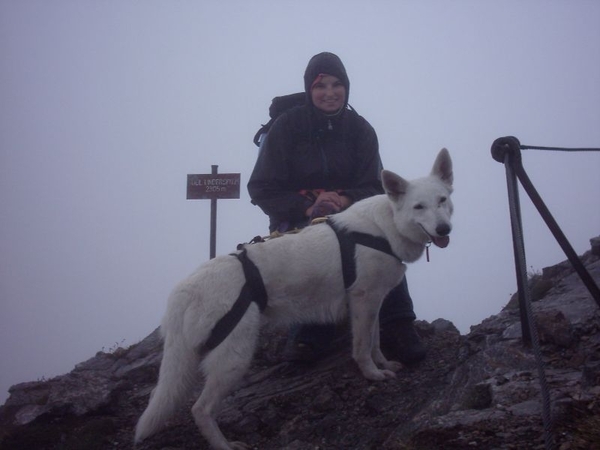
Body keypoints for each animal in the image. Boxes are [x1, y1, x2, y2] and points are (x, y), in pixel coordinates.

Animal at [135, 149, 454, 450]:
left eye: (442, 200)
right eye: (418, 207)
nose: (444, 230)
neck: (386, 226)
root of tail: (184, 289)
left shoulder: (372, 302)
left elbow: (375, 342)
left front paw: (384, 364)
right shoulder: (363, 302)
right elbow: (363, 347)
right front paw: (372, 374)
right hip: (234, 358)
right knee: (200, 409)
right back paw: (224, 445)